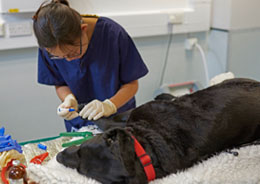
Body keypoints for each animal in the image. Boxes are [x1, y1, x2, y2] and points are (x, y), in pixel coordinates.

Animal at [57, 78, 260, 183]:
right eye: (80, 169)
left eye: (81, 150)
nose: (59, 156)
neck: (145, 150)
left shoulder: (132, 116)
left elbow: (105, 120)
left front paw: (84, 108)